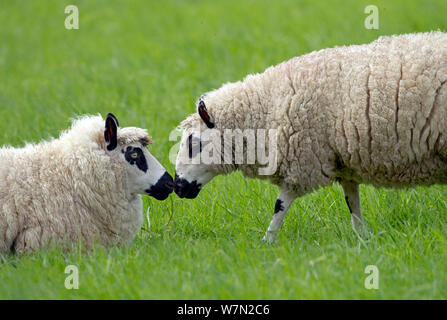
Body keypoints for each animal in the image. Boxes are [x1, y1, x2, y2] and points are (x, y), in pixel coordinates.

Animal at [173, 31, 447, 242]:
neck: (267, 108)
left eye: (193, 142)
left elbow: (280, 205)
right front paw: (362, 239)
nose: (177, 187)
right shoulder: (342, 163)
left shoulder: (302, 163)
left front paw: (267, 242)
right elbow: (353, 204)